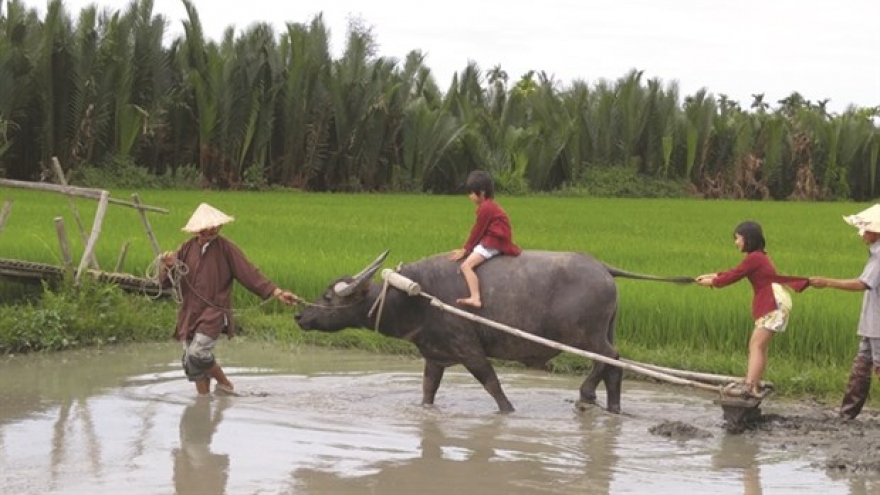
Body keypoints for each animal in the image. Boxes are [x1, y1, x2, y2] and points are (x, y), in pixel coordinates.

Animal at [296, 250, 688, 412]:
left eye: (328, 297)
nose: (300, 316)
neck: (414, 295)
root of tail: (603, 269)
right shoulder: (435, 356)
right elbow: (428, 391)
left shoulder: (470, 350)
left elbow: (493, 385)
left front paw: (508, 412)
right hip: (605, 330)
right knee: (613, 366)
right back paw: (611, 407)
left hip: (585, 336)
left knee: (608, 359)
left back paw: (587, 394)